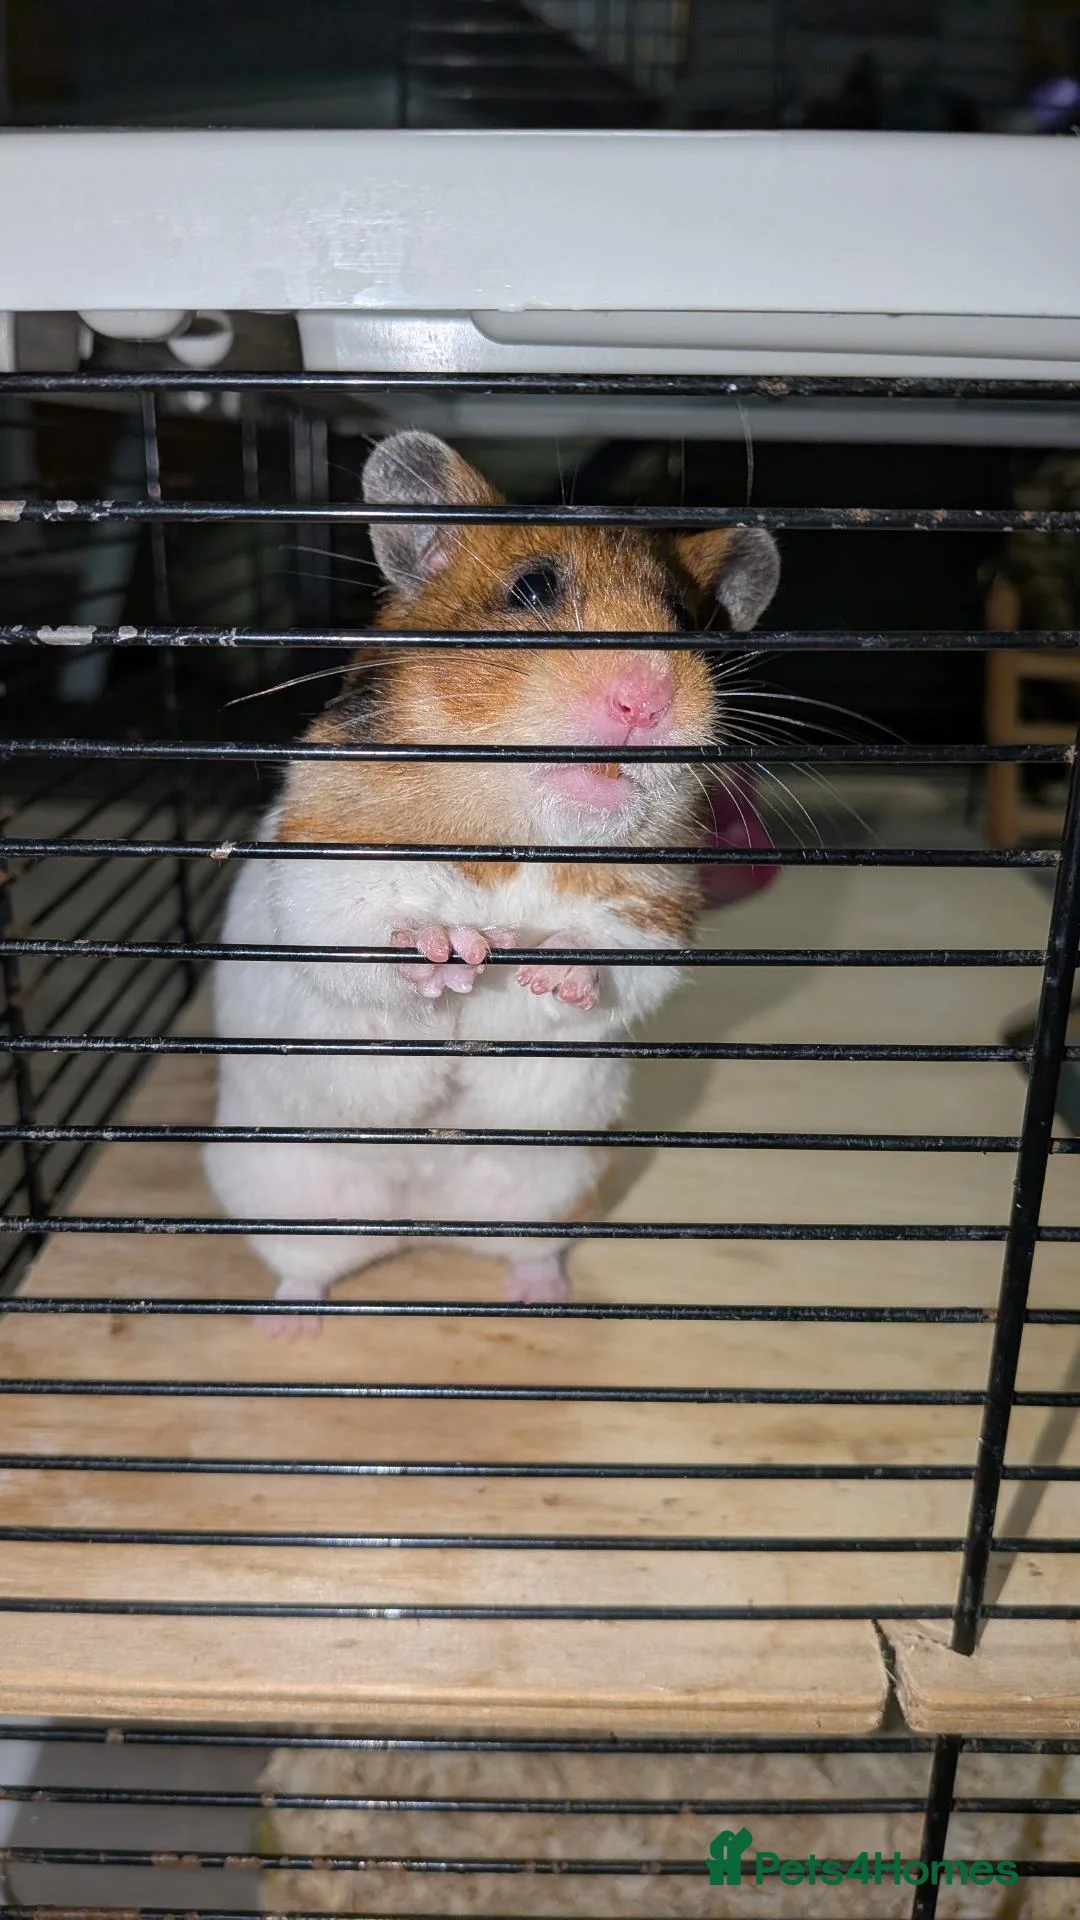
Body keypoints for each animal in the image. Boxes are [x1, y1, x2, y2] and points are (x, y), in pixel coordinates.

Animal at [204, 431, 779, 1315]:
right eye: (533, 588)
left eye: (687, 621)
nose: (644, 700)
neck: (519, 835)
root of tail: (420, 1211)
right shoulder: (320, 865)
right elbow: (361, 927)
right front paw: (454, 950)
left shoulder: (657, 910)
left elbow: (619, 958)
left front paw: (545, 968)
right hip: (275, 1184)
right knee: (307, 1261)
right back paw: (290, 1321)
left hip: (559, 1181)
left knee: (525, 1245)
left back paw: (544, 1296)